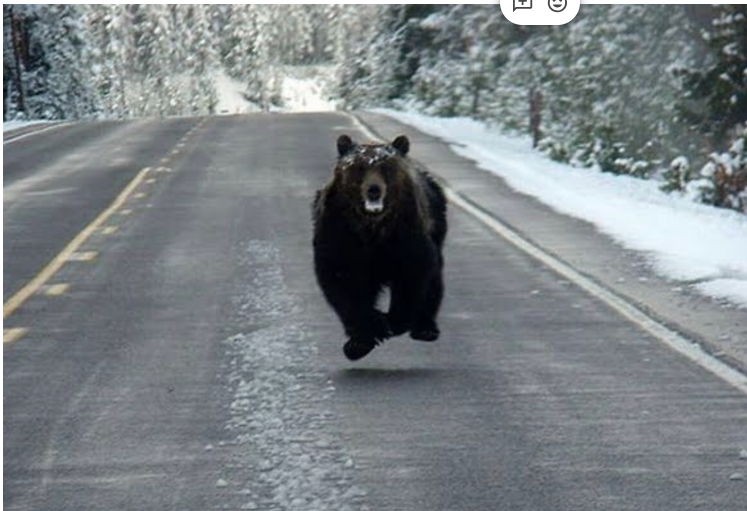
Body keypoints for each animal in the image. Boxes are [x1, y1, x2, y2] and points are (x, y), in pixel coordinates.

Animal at [312, 134, 447, 361]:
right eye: (358, 168)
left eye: (386, 167)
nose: (374, 190)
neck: (372, 227)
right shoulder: (341, 236)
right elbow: (342, 281)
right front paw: (366, 336)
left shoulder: (405, 236)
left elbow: (412, 275)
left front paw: (393, 321)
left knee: (433, 281)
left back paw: (426, 328)